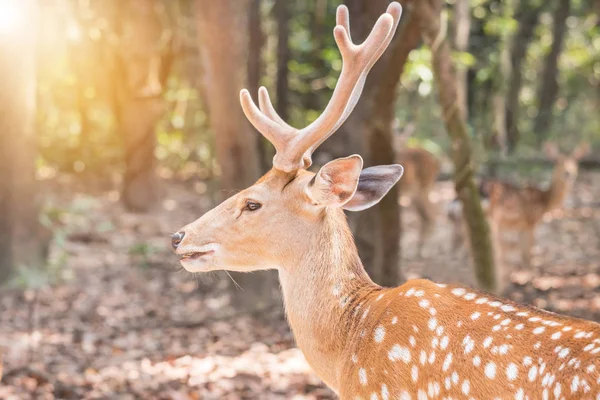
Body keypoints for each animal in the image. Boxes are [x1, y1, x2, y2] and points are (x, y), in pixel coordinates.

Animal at [394, 123, 440, 258]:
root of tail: (436, 161)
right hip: (418, 193)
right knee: (425, 216)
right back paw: (419, 250)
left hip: (425, 187)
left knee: (431, 215)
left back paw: (428, 251)